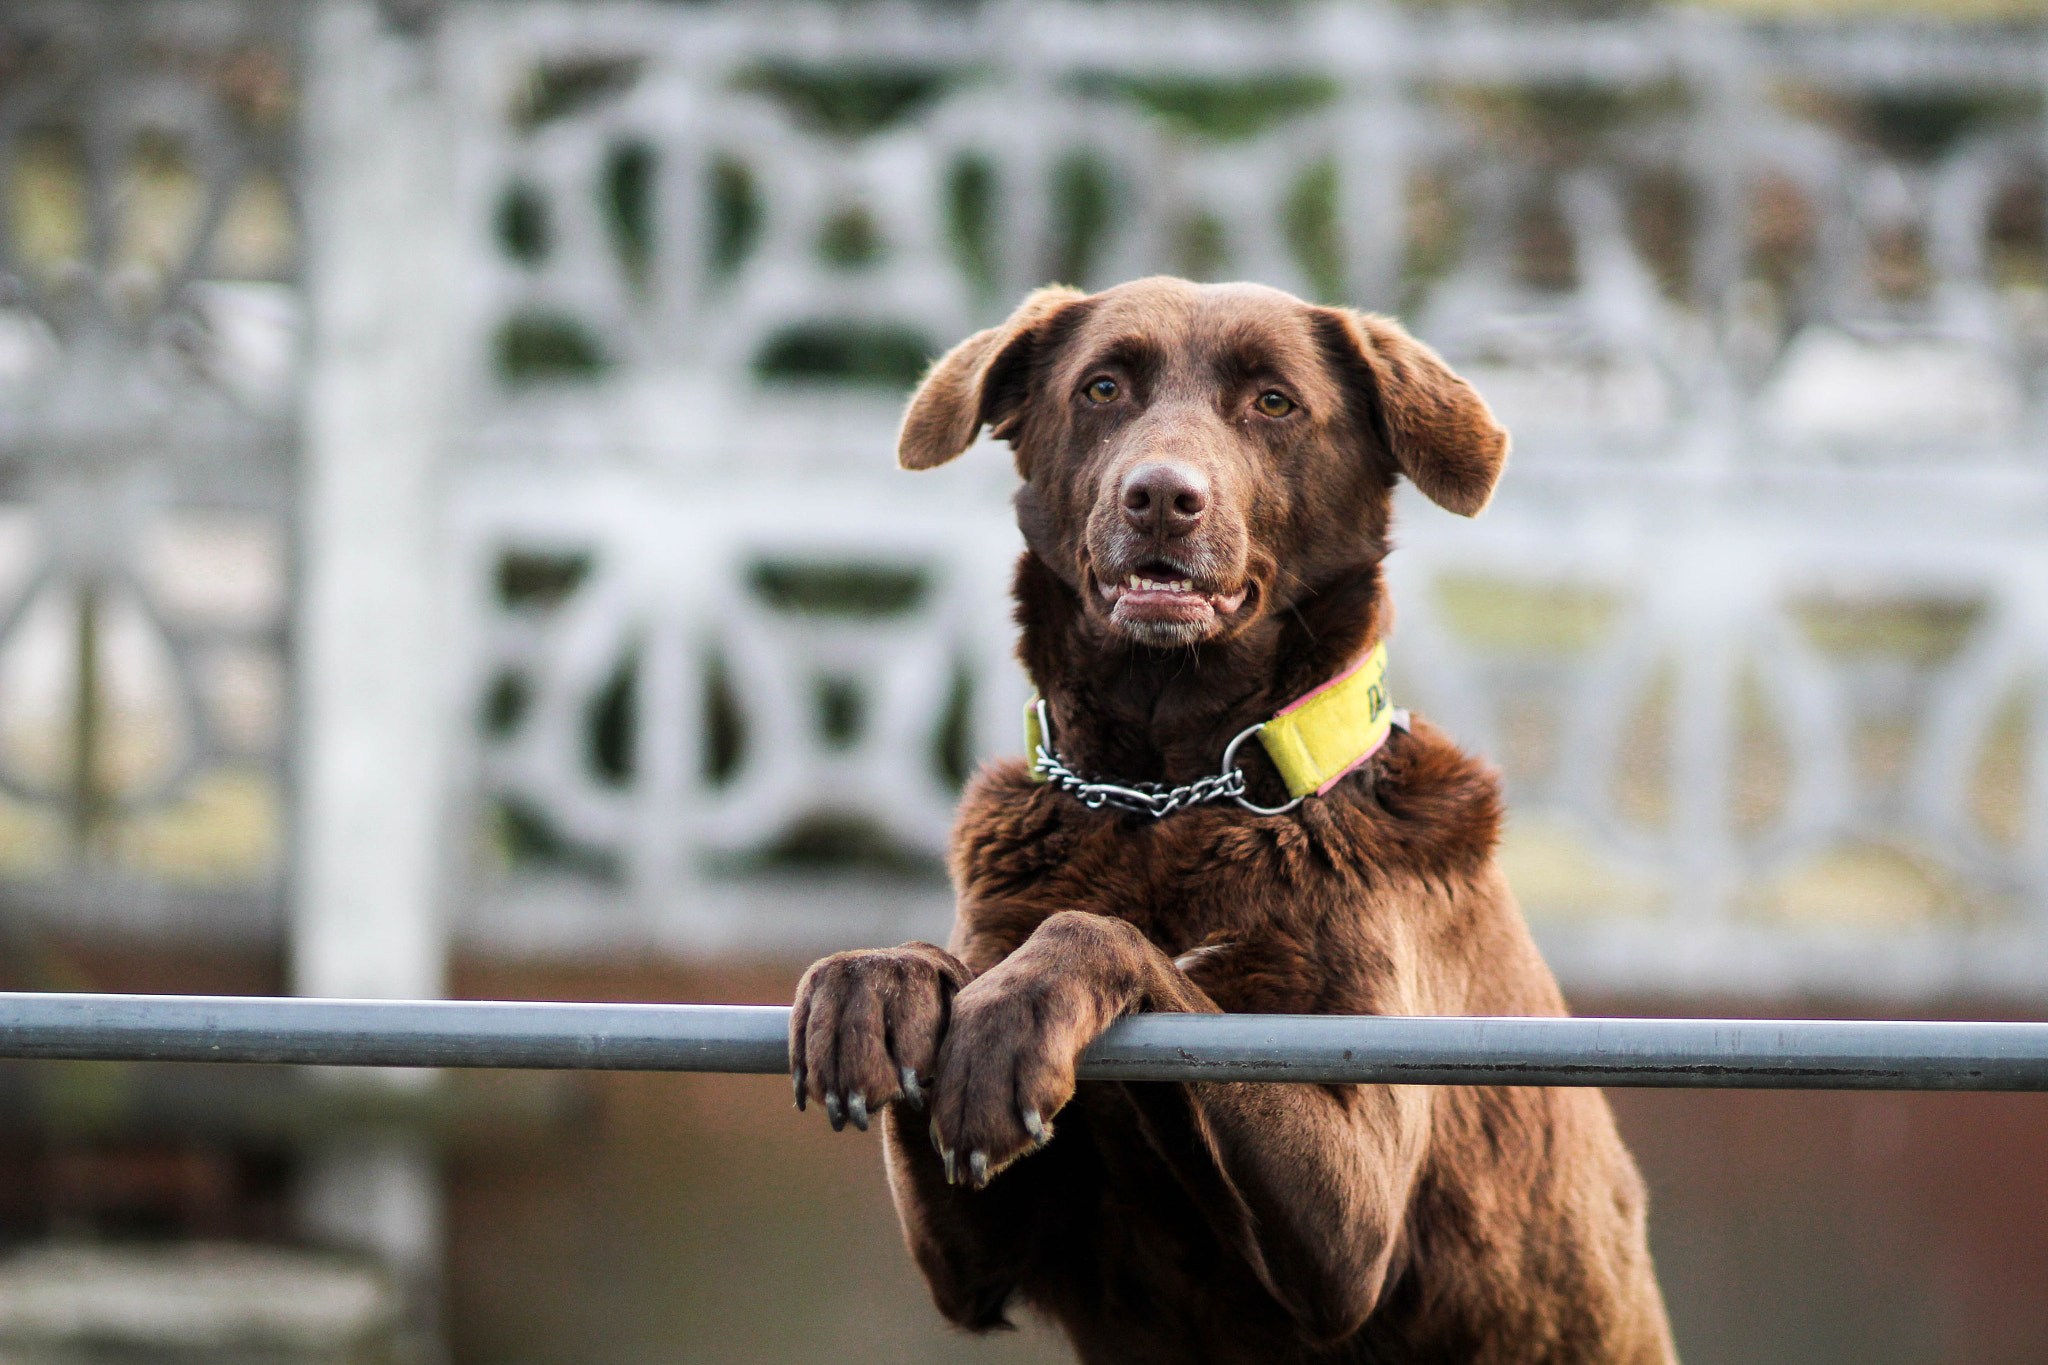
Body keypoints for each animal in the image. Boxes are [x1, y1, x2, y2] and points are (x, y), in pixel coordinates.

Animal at [790, 280, 1671, 1365]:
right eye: (1103, 387)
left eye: (1273, 403)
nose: (1161, 496)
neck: (1169, 794)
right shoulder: (976, 1260)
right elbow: (942, 968)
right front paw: (874, 982)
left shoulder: (1354, 1224)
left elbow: (1109, 940)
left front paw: (1011, 1014)